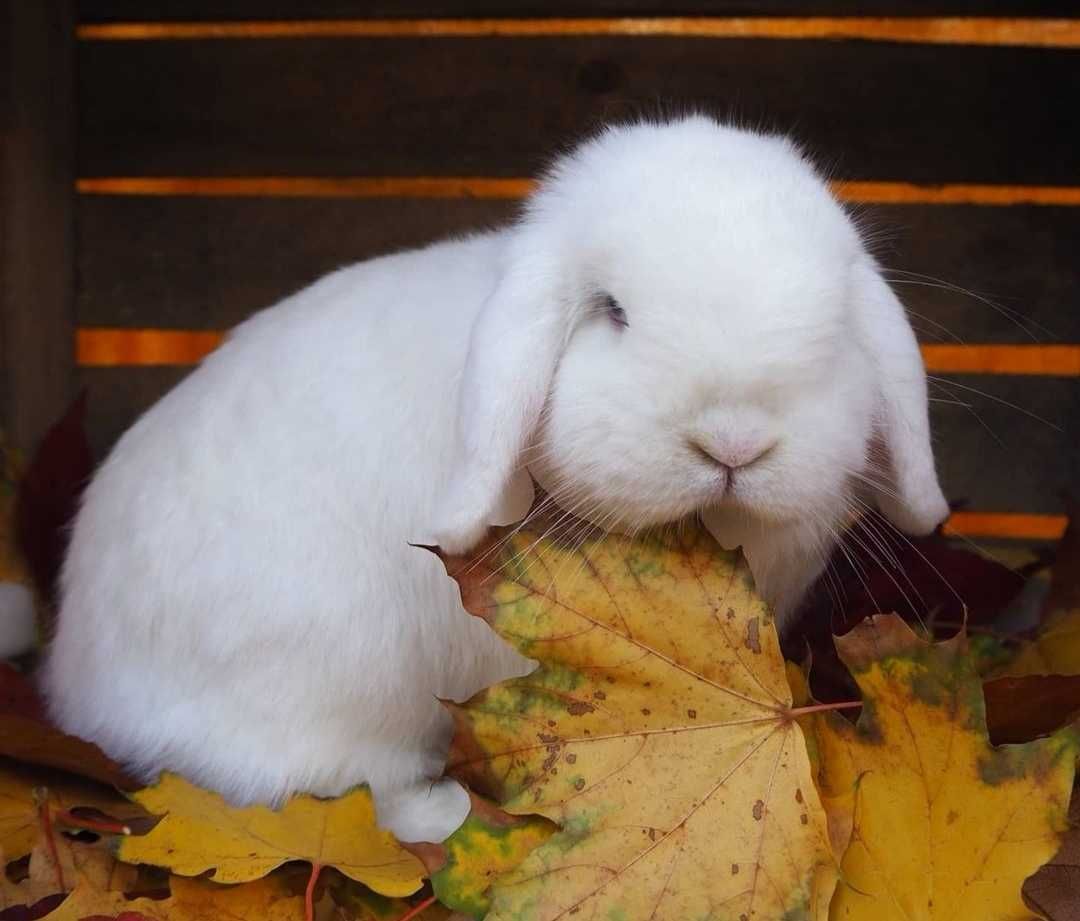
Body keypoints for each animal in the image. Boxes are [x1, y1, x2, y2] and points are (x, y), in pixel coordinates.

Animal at [39, 118, 946, 846]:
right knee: (341, 791)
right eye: (612, 311)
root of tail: (75, 680)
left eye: (835, 326)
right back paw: (449, 814)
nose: (734, 441)